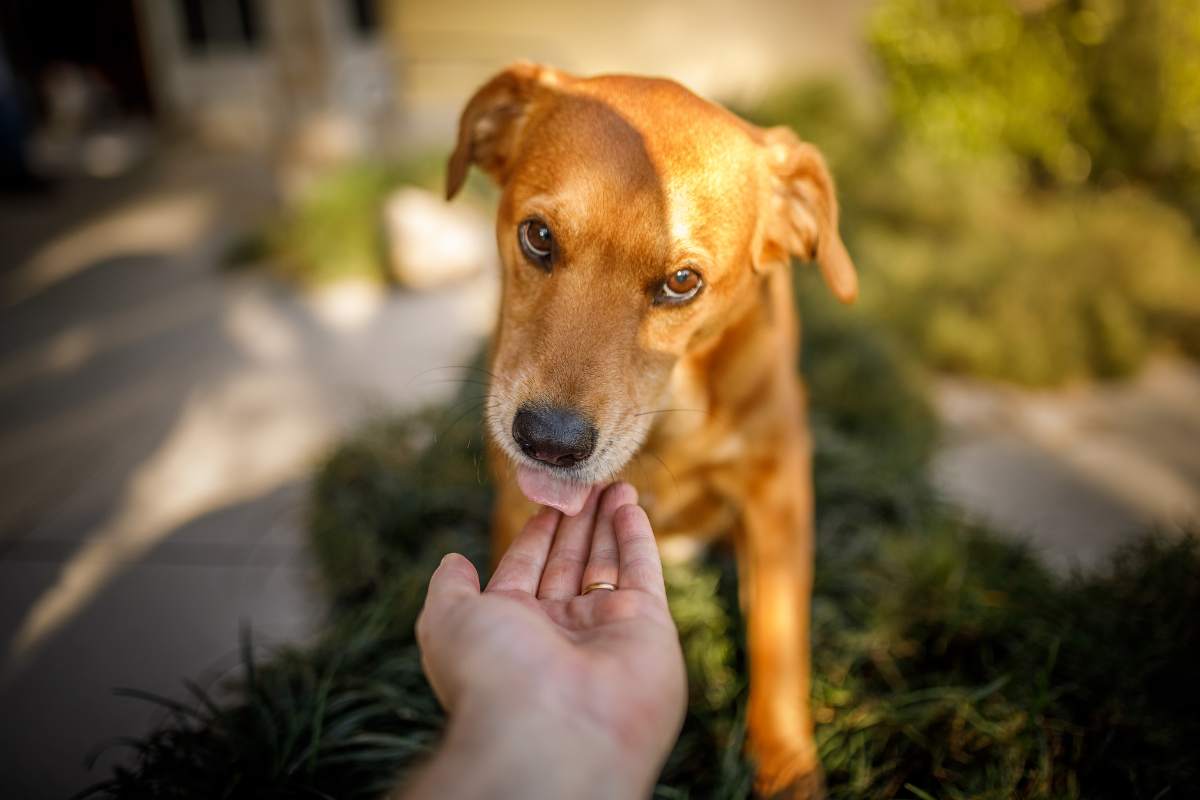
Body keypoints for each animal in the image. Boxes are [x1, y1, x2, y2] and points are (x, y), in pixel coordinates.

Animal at [446, 64, 859, 800]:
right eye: (538, 236)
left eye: (683, 282)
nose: (547, 440)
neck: (668, 423)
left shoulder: (778, 494)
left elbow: (780, 642)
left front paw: (787, 764)